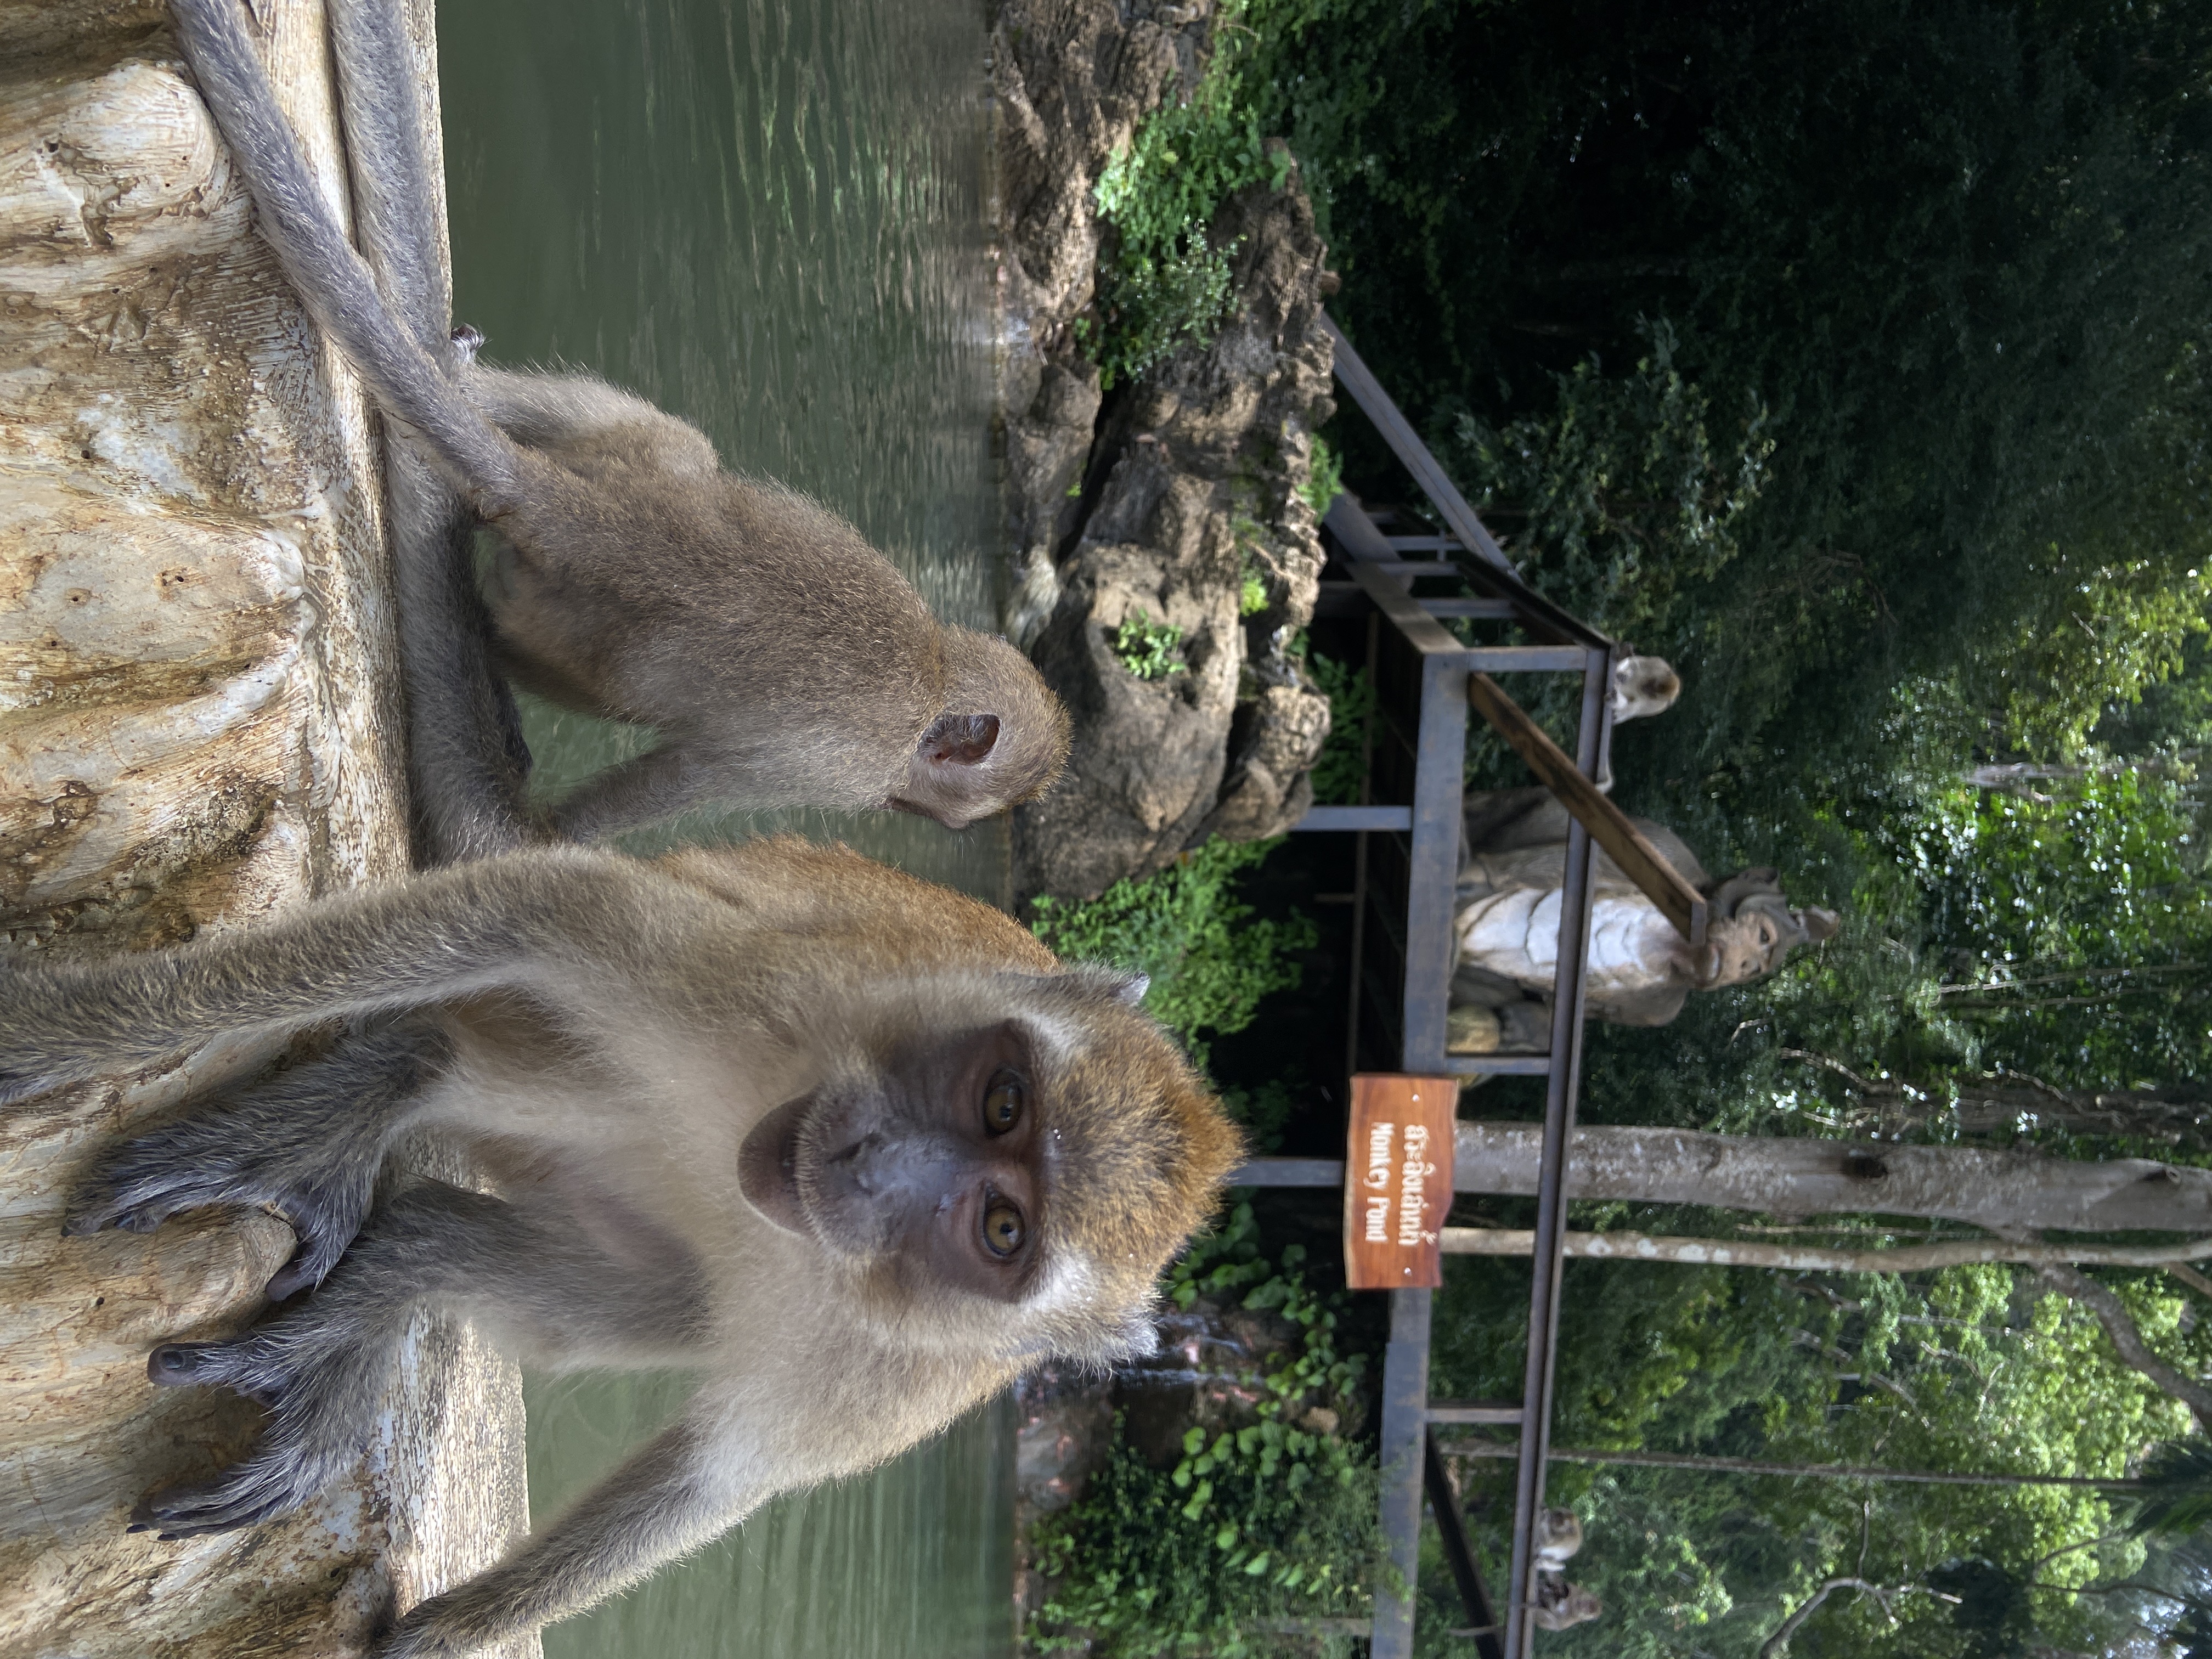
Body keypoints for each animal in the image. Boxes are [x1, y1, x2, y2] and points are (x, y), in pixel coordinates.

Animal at [4, 835, 1243, 1656]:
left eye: (1000, 1229)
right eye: (1002, 1100)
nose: (875, 1162)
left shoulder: (890, 1379)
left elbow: (708, 1479)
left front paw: (441, 1636)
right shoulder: (778, 989)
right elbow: (535, 909)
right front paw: (59, 1030)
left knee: (634, 1291)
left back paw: (397, 1256)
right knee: (479, 1053)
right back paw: (391, 1089)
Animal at [172, 0, 1070, 849]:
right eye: (931, 806)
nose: (909, 812)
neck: (933, 673)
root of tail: (588, 519)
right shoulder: (835, 769)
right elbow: (571, 830)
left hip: (625, 478)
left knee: (673, 446)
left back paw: (463, 388)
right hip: (557, 627)